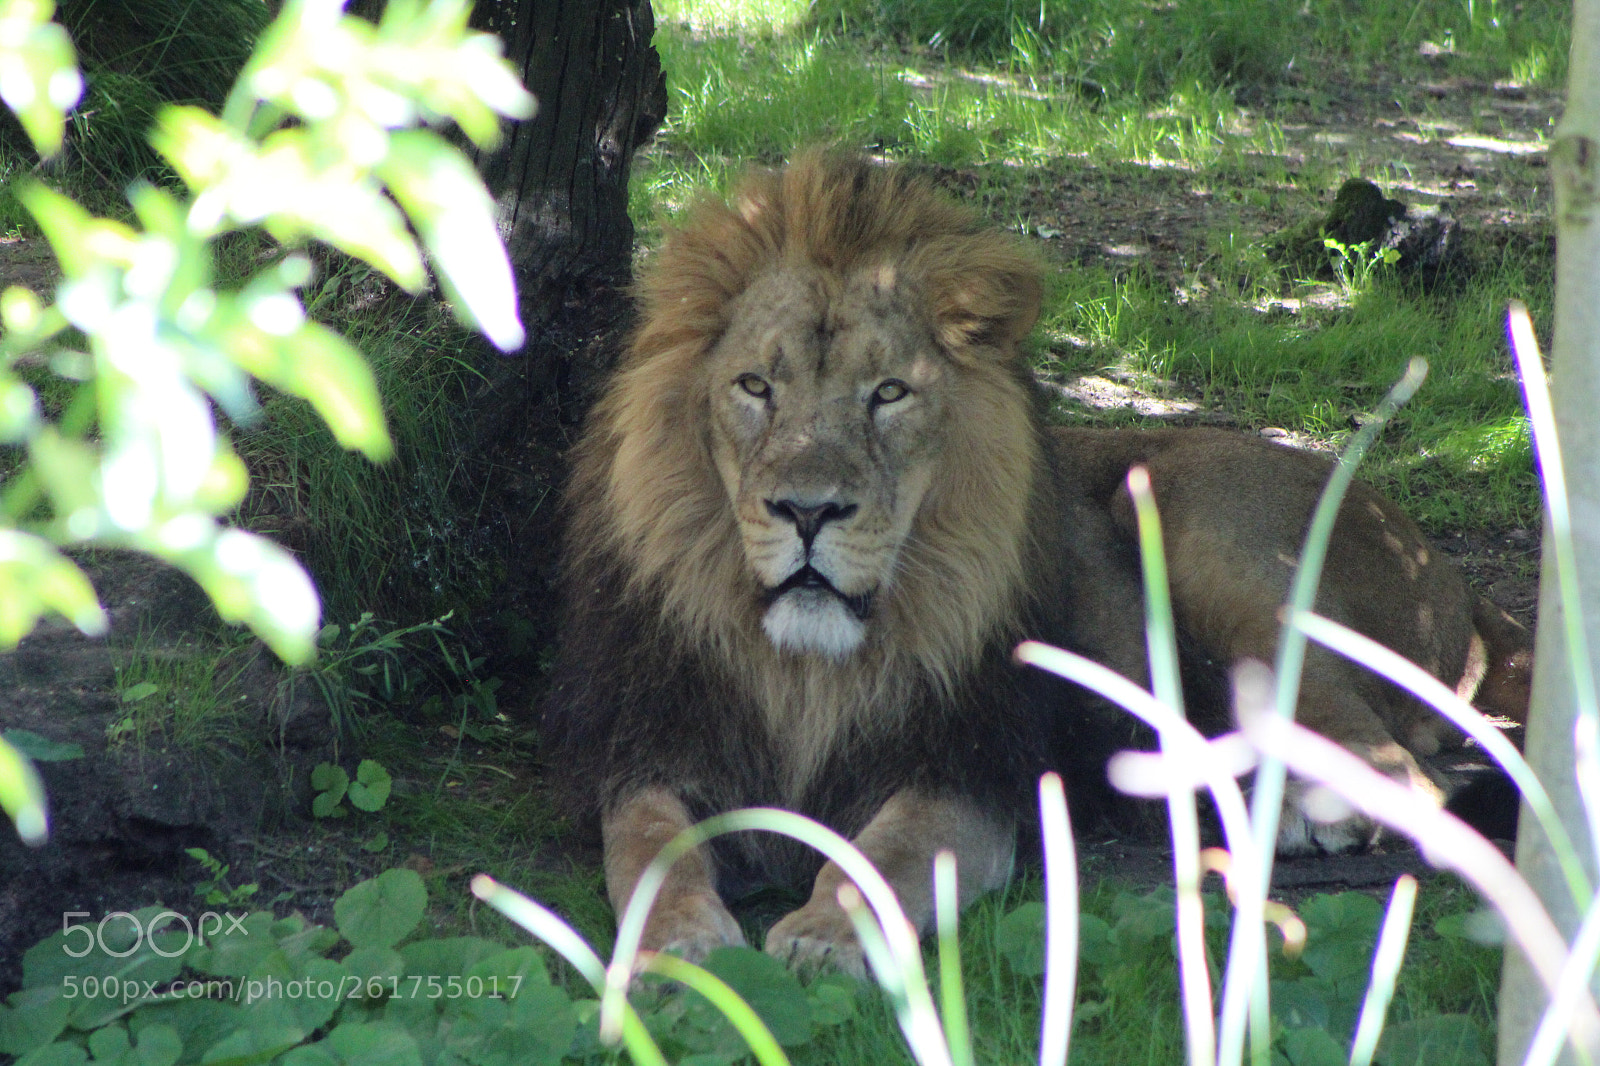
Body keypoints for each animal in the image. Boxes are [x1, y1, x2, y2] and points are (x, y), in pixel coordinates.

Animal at [541, 149, 1532, 977]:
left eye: (888, 394)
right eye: (756, 387)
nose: (808, 511)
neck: (806, 672)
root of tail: (1449, 573)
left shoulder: (969, 773)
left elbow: (880, 859)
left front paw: (825, 938)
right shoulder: (653, 747)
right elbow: (648, 850)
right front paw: (677, 948)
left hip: (1208, 530)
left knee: (1409, 773)